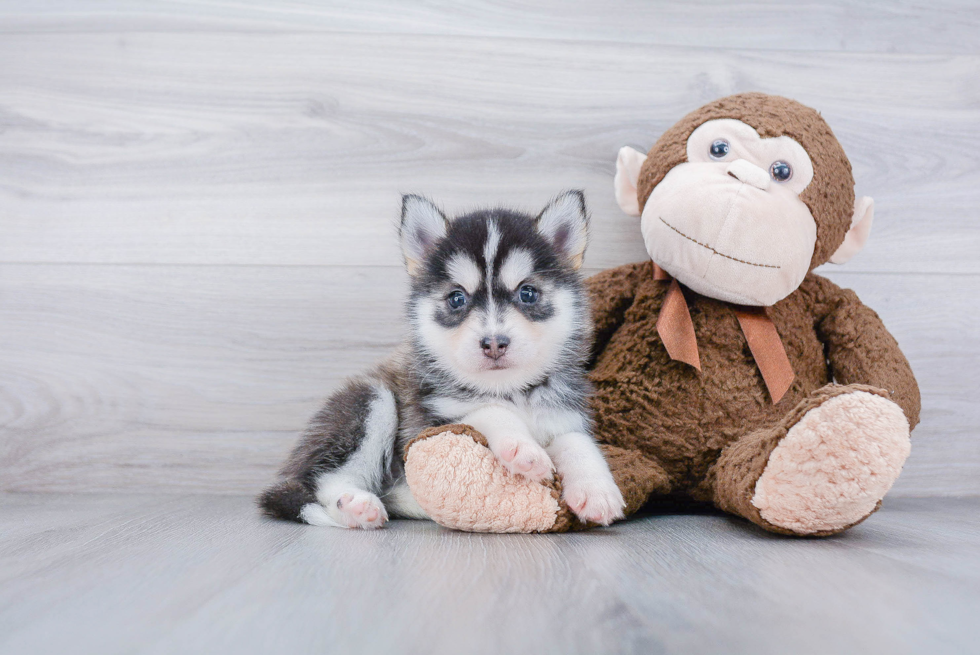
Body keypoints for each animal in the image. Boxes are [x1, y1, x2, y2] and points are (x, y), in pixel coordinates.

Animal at [260, 190, 624, 528]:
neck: (508, 390)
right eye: (456, 298)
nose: (494, 343)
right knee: (327, 479)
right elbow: (490, 410)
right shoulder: (432, 422)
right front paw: (524, 448)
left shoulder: (563, 416)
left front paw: (597, 490)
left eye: (528, 293)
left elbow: (576, 440)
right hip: (369, 401)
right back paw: (356, 505)